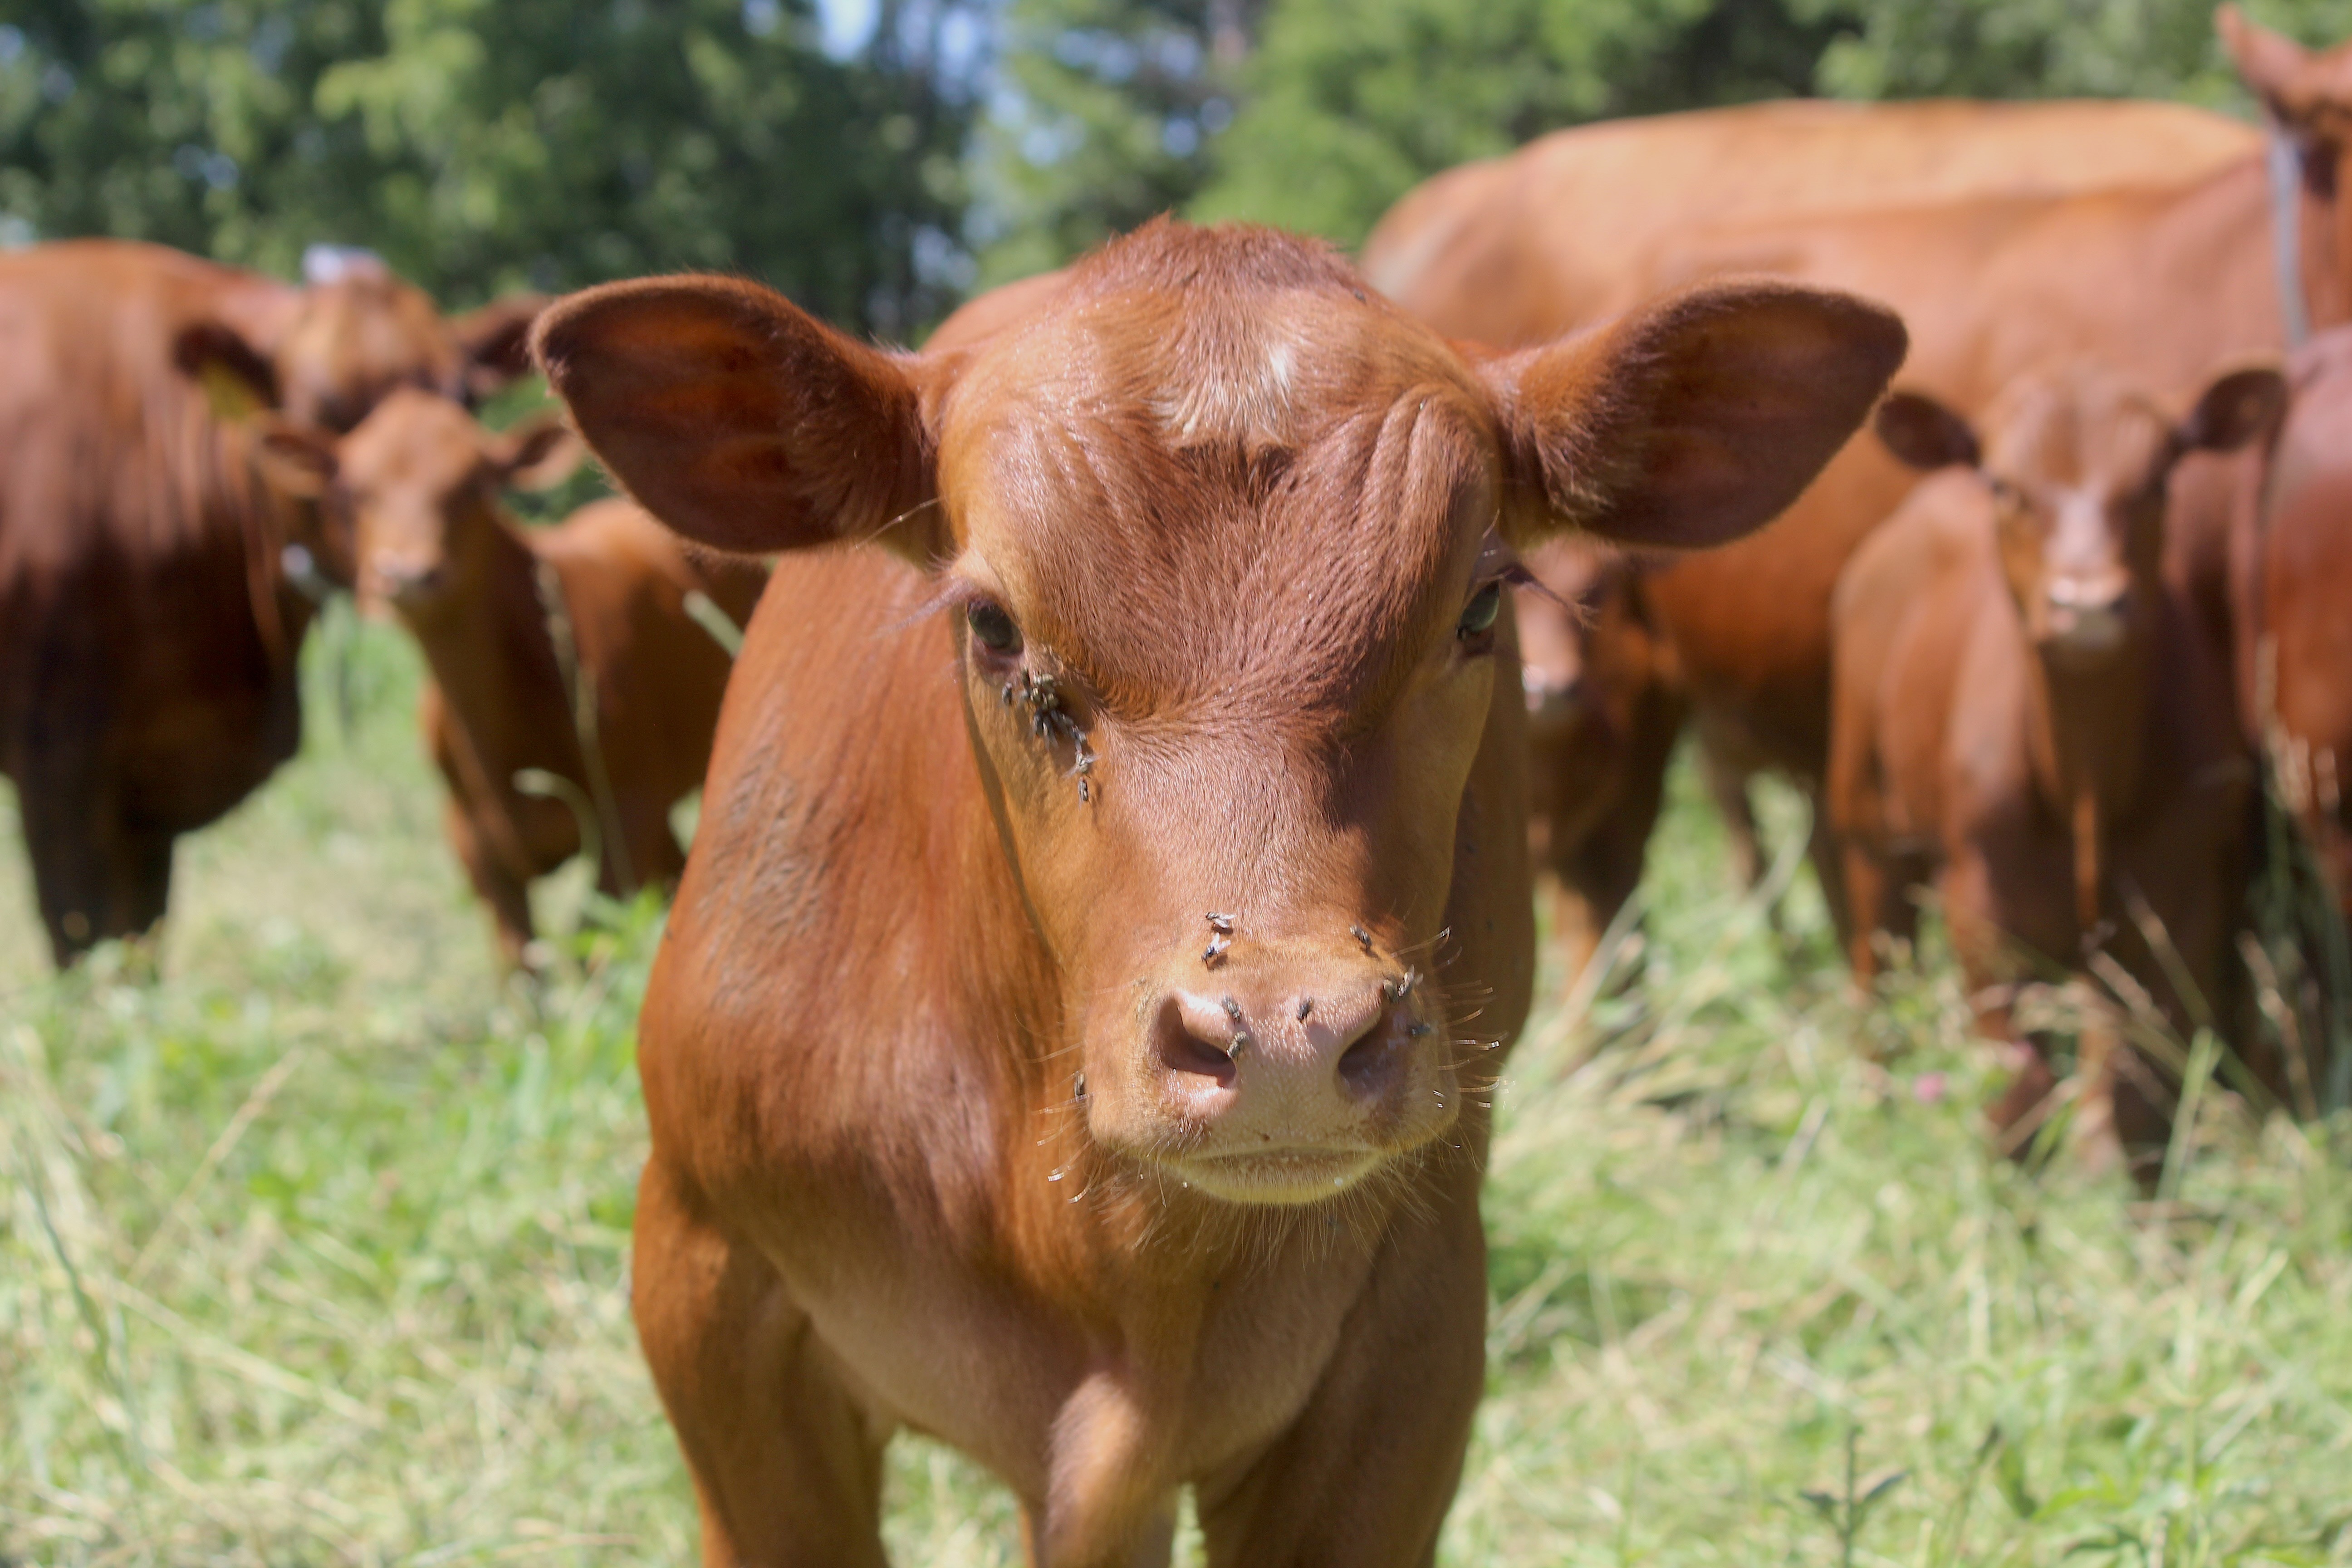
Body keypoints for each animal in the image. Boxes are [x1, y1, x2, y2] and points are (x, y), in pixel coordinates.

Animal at [0, 239, 541, 966]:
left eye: (463, 398)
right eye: (319, 405)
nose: (406, 568)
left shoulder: (147, 786)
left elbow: (141, 941)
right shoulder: (57, 759)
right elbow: (86, 940)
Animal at [254, 389, 767, 967]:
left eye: (474, 487)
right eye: (354, 493)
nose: (407, 574)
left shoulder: (627, 818)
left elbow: (592, 948)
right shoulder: (476, 848)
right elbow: (523, 972)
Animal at [1828, 361, 2284, 1175]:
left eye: (2158, 479)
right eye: (2005, 485)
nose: (2087, 604)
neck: (2085, 779)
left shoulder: (2179, 912)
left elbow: (2137, 1104)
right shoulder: (1981, 909)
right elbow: (2017, 1096)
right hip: (1866, 820)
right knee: (1873, 974)